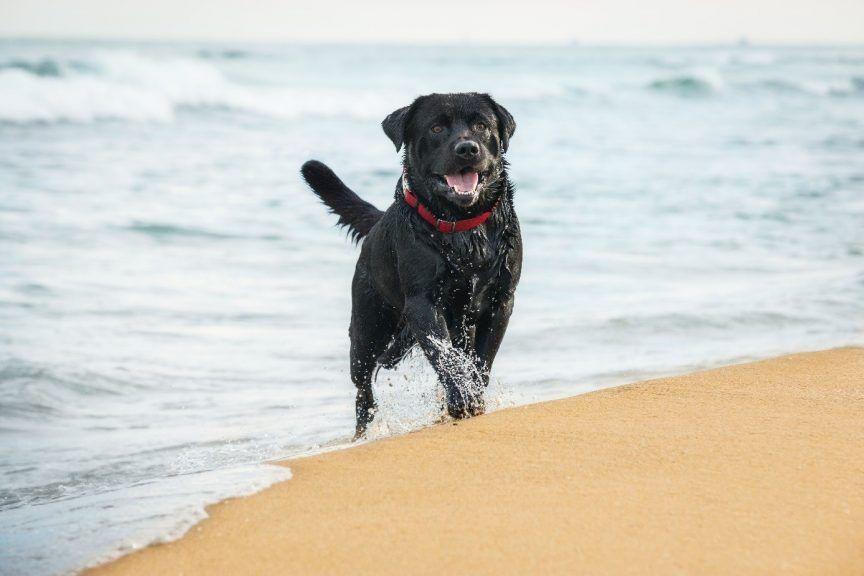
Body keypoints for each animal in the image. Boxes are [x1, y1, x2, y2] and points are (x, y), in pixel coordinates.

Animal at [300, 93, 524, 436]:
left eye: (482, 125)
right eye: (436, 128)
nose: (467, 148)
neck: (463, 228)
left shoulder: (502, 300)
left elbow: (481, 361)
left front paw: (472, 396)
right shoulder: (423, 303)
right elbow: (444, 355)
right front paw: (461, 399)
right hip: (367, 331)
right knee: (363, 390)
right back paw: (362, 434)